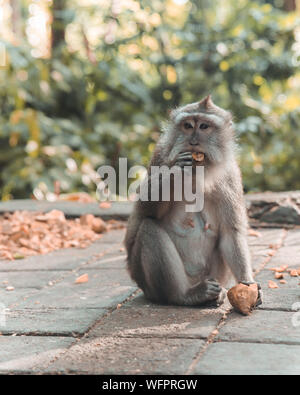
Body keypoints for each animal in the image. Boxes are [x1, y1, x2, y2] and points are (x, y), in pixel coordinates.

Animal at [123, 96, 260, 310]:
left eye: (204, 126)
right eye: (187, 126)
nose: (193, 142)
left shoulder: (230, 175)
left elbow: (230, 233)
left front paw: (247, 284)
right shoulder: (161, 155)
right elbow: (144, 211)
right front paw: (176, 171)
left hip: (213, 276)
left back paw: (215, 295)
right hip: (148, 283)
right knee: (148, 228)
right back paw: (185, 295)